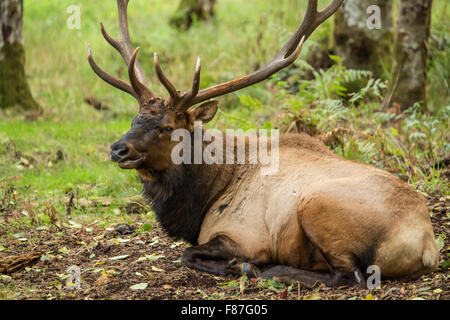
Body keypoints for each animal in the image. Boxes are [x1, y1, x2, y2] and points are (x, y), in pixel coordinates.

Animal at [89, 0, 440, 286]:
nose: (118, 149)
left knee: (349, 276)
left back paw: (271, 270)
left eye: (167, 127)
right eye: (134, 120)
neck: (203, 198)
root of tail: (427, 246)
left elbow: (188, 255)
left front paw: (242, 265)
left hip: (316, 204)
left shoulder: (243, 235)